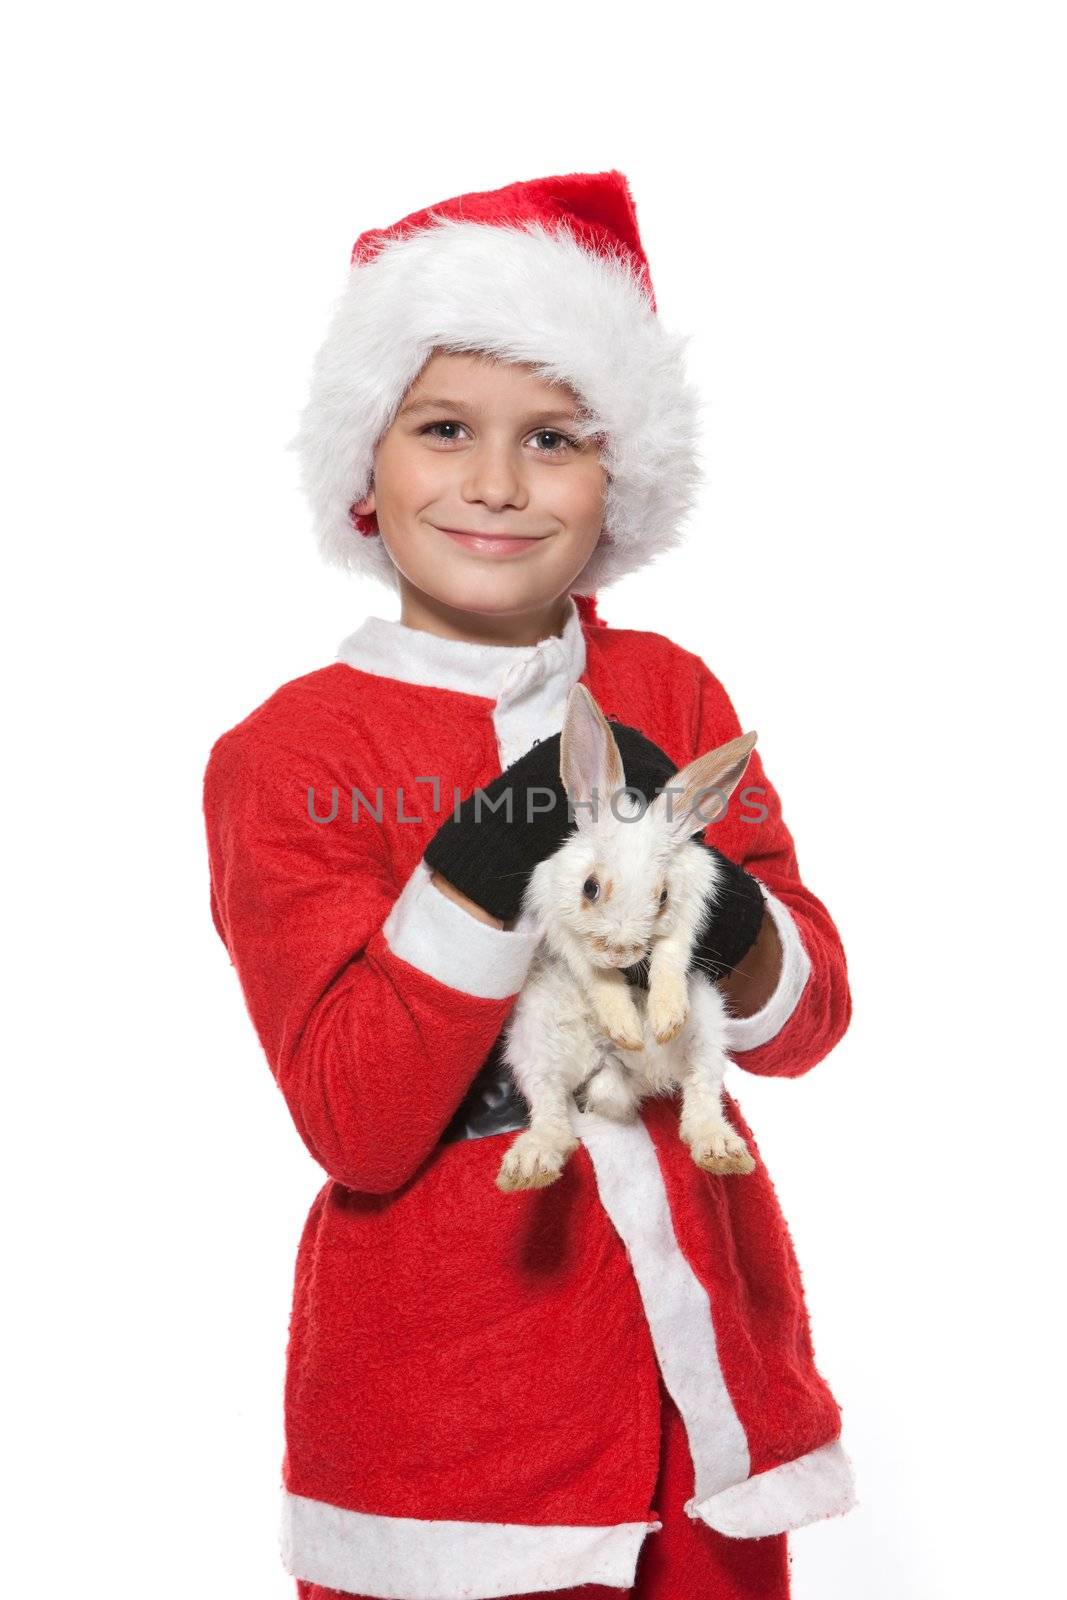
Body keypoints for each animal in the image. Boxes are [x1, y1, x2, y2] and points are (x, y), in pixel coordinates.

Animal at [499, 681, 758, 1196]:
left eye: (662, 896)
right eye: (590, 888)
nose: (620, 952)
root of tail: (624, 1078)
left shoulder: (690, 911)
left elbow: (671, 957)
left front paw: (661, 1020)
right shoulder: (558, 920)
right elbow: (591, 973)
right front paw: (626, 1028)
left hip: (708, 1030)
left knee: (700, 1092)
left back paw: (721, 1150)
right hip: (534, 1042)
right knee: (550, 1106)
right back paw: (532, 1162)